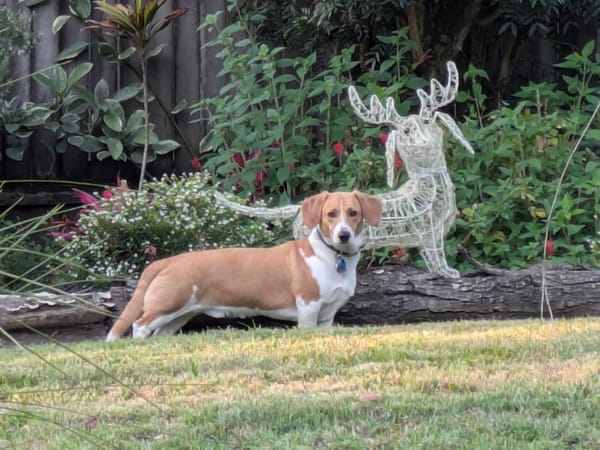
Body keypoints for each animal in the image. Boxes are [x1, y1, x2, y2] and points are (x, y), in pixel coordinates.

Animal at [105, 190, 382, 342]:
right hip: (167, 305)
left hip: (178, 315)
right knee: (139, 325)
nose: (343, 235)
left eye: (353, 213)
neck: (331, 256)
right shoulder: (308, 308)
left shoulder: (326, 316)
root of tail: (168, 261)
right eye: (331, 214)